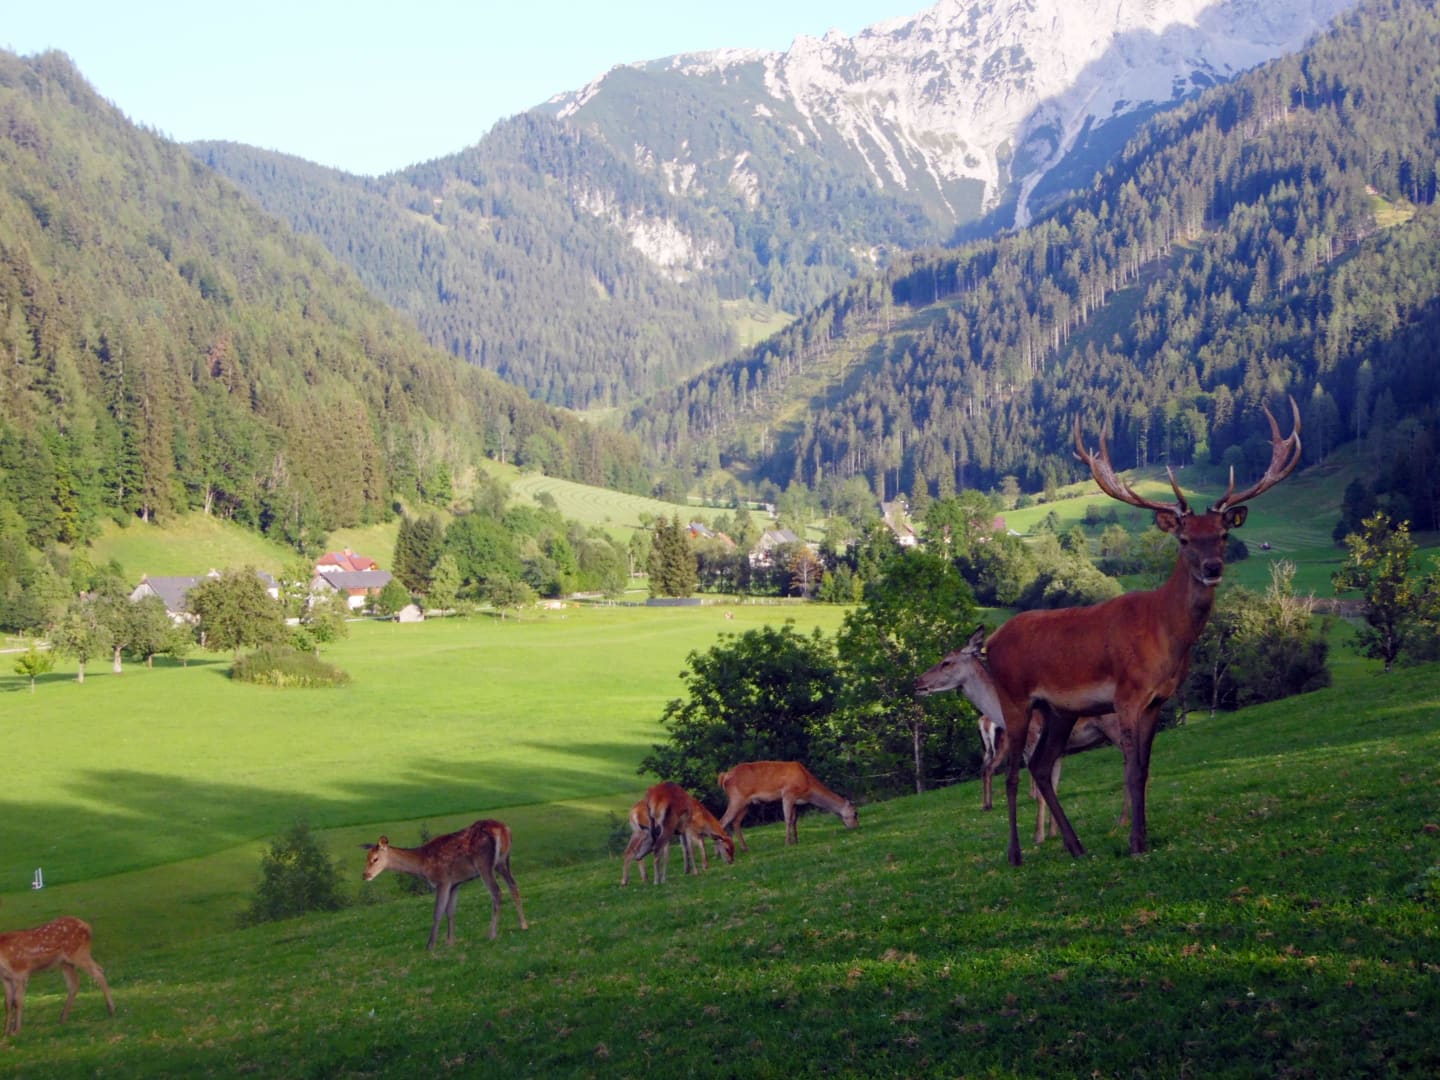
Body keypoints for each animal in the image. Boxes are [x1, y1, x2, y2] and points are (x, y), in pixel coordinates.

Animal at [362, 819, 528, 948]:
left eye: (375, 859)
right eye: (366, 858)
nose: (365, 875)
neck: (422, 865)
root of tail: (504, 829)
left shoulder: (442, 880)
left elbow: (438, 912)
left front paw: (430, 945)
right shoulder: (455, 883)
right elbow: (450, 911)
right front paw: (450, 941)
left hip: (484, 863)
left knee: (496, 892)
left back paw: (492, 933)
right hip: (502, 861)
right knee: (513, 885)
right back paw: (524, 924)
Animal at [717, 761, 859, 850]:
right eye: (855, 813)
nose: (856, 827)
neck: (807, 787)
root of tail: (724, 777)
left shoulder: (795, 801)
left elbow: (794, 820)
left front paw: (796, 841)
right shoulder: (787, 794)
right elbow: (788, 819)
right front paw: (787, 843)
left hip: (746, 803)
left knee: (735, 822)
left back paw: (745, 848)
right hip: (736, 798)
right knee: (722, 821)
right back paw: (719, 854)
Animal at [916, 626, 1131, 844]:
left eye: (946, 662)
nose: (918, 681)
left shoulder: (1033, 740)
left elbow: (1040, 789)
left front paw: (1039, 836)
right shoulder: (1058, 752)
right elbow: (1053, 786)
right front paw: (1055, 833)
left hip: (1114, 726)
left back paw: (1122, 821)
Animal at [982, 398, 1300, 865]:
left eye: (1223, 534)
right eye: (1184, 539)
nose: (1213, 568)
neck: (1165, 635)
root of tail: (991, 641)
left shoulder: (1157, 701)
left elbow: (1146, 770)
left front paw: (1145, 837)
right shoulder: (1127, 695)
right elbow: (1131, 771)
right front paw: (1134, 843)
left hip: (1060, 710)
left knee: (1040, 766)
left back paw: (1076, 846)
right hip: (1015, 700)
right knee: (1012, 773)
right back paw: (1016, 854)